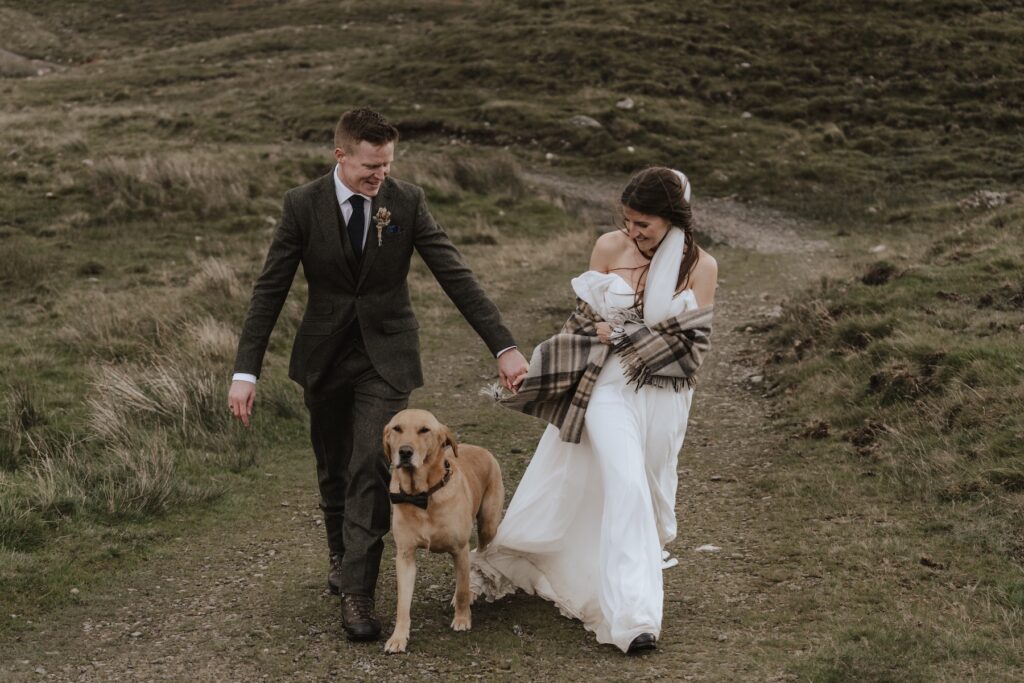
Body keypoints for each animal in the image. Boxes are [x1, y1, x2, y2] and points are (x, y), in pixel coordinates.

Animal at [380, 409, 503, 655]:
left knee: (479, 557)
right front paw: (398, 637)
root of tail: (481, 448)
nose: (405, 452)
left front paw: (463, 619)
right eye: (397, 428)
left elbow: (463, 587)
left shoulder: (460, 549)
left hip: (488, 525)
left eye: (424, 430)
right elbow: (402, 603)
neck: (422, 496)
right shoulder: (405, 555)